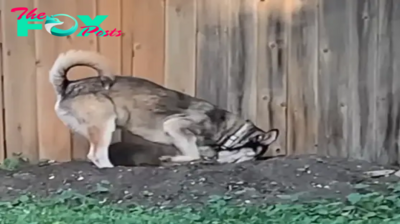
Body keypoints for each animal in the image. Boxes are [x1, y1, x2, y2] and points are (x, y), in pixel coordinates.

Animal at [50, 49, 280, 168]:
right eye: (252, 155)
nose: (251, 163)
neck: (229, 131)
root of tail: (68, 85)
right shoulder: (175, 124)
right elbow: (193, 154)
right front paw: (174, 159)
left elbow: (195, 153)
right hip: (105, 120)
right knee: (97, 155)